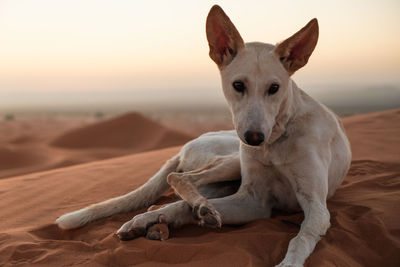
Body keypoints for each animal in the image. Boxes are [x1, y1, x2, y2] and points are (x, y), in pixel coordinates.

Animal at [56, 5, 350, 266]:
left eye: (274, 88)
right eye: (238, 85)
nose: (253, 138)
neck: (276, 141)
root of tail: (183, 148)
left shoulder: (311, 205)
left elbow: (300, 239)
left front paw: (289, 263)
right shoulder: (254, 199)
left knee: (175, 200)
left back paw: (164, 222)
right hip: (230, 161)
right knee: (178, 183)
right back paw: (175, 215)